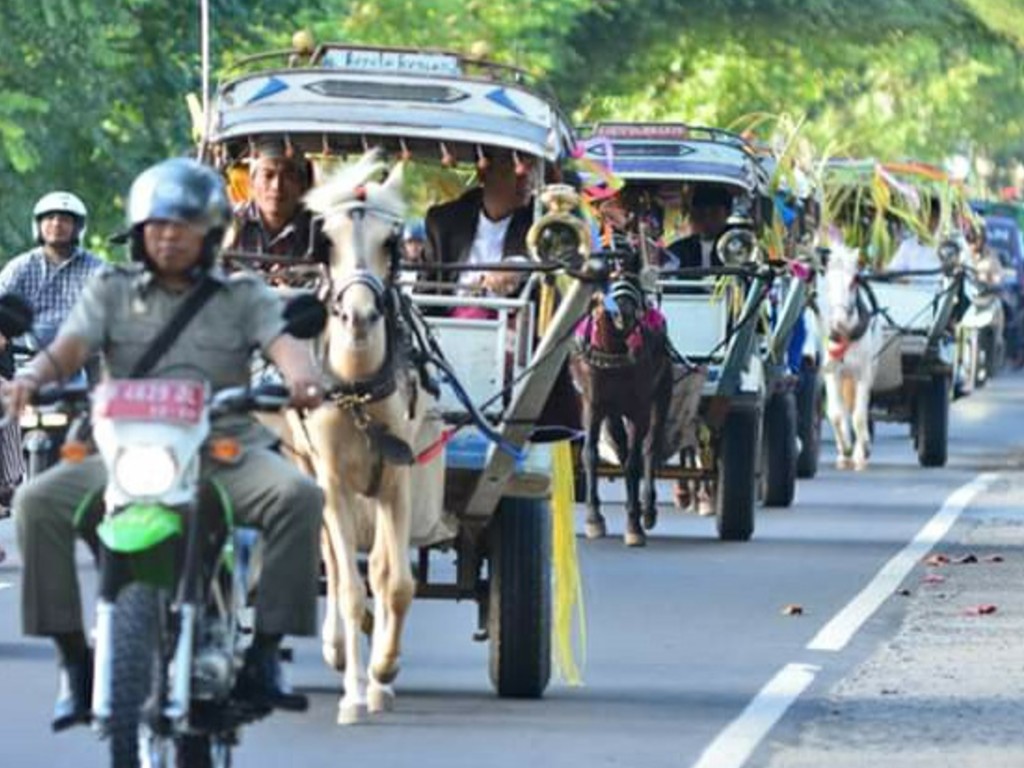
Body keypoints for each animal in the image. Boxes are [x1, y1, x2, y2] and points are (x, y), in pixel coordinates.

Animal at [573, 276, 675, 548]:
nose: (625, 312)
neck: (614, 351)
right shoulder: (592, 404)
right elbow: (590, 454)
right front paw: (593, 518)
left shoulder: (639, 409)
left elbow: (634, 462)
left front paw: (634, 524)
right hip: (612, 412)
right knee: (620, 445)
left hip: (662, 393)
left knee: (649, 447)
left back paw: (647, 508)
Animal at [815, 241, 880, 468]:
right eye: (827, 282)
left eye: (854, 281)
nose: (839, 322)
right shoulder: (832, 373)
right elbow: (835, 414)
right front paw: (845, 450)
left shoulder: (864, 373)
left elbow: (859, 416)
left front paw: (863, 451)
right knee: (843, 410)